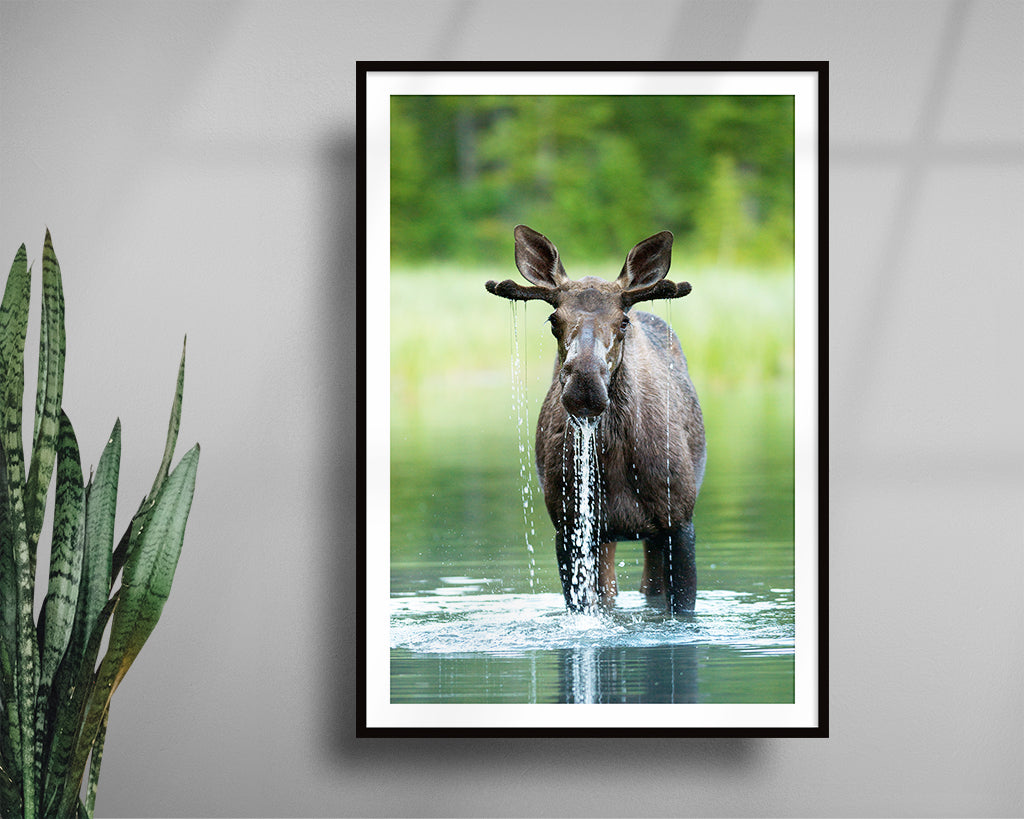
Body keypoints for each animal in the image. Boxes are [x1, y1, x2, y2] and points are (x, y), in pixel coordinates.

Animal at [486, 225, 706, 616]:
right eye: (553, 320)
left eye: (623, 321)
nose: (585, 386)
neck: (615, 459)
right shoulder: (570, 526)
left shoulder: (679, 520)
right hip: (603, 534)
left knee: (649, 586)